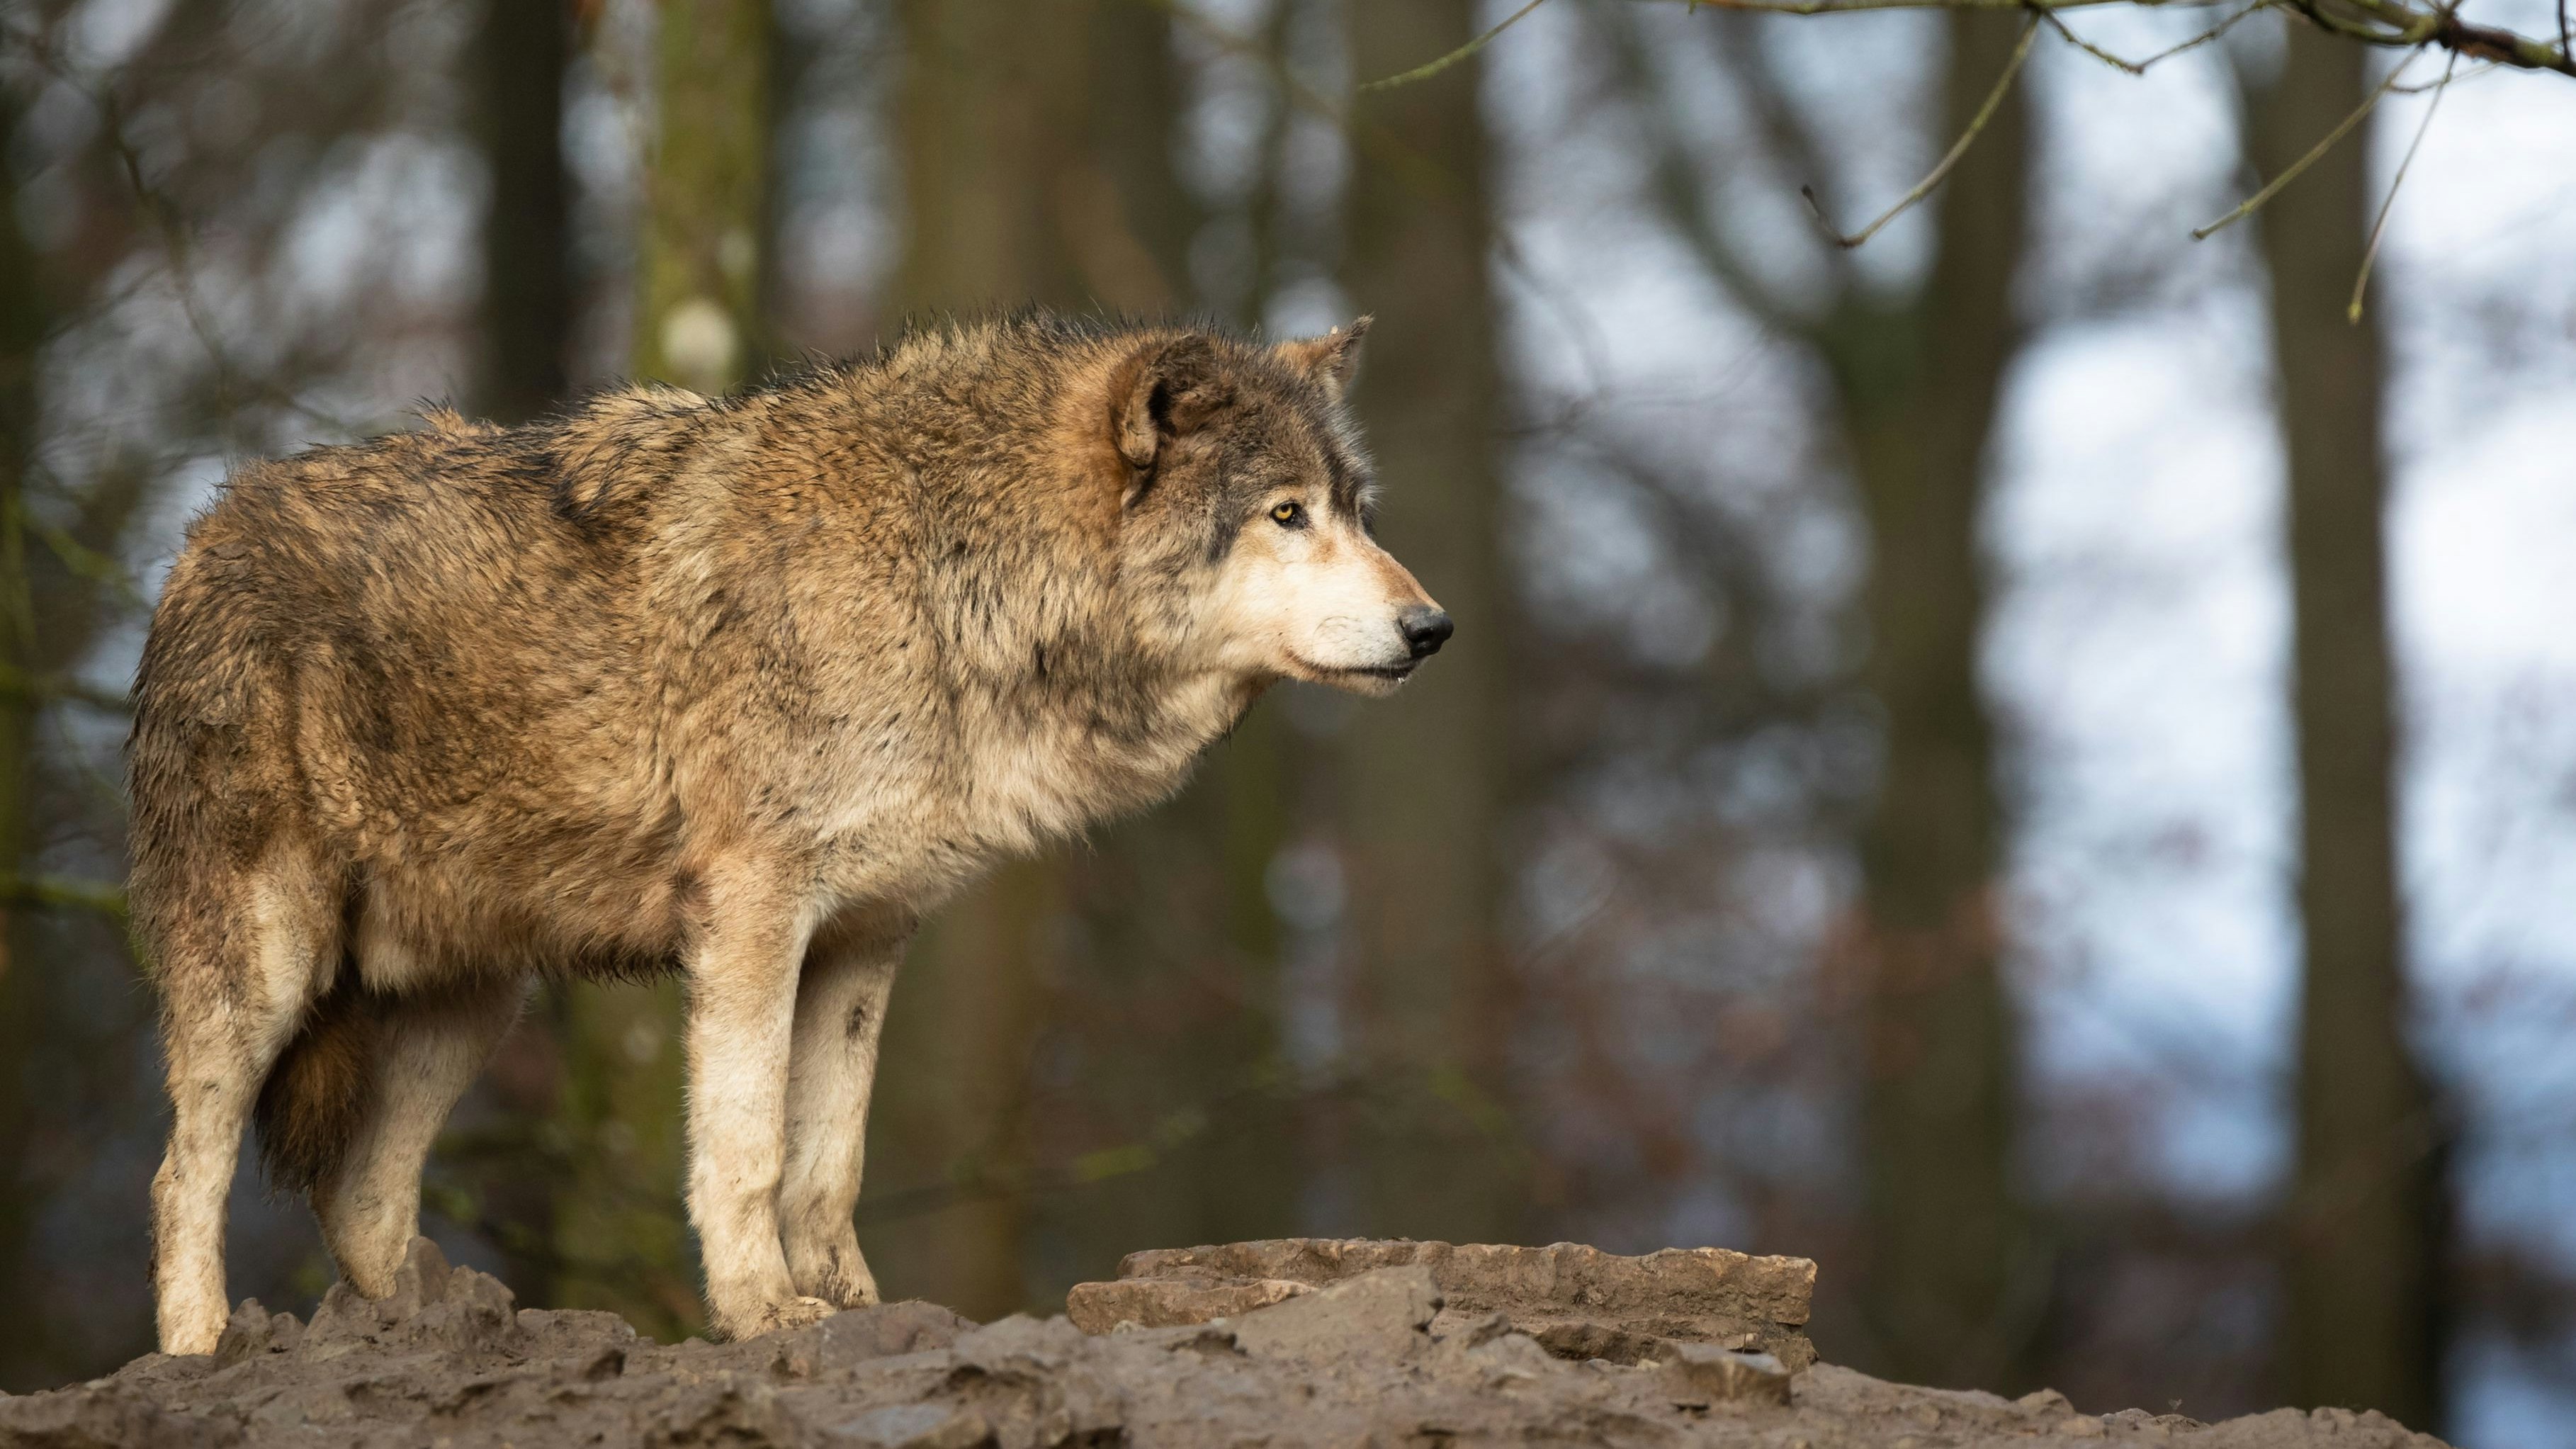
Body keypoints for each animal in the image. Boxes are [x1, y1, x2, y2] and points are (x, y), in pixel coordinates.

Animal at [131, 311, 1450, 1353]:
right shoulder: (755, 914)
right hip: (272, 969)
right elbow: (750, 1143)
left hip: (467, 1003)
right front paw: (762, 1314)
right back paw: (202, 1350)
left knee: (360, 1198)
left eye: (1357, 511)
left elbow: (829, 1161)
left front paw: (861, 1310)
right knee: (184, 1167)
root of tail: (195, 538)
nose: (1433, 628)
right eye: (1285, 514)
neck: (946, 576)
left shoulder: (867, 935)